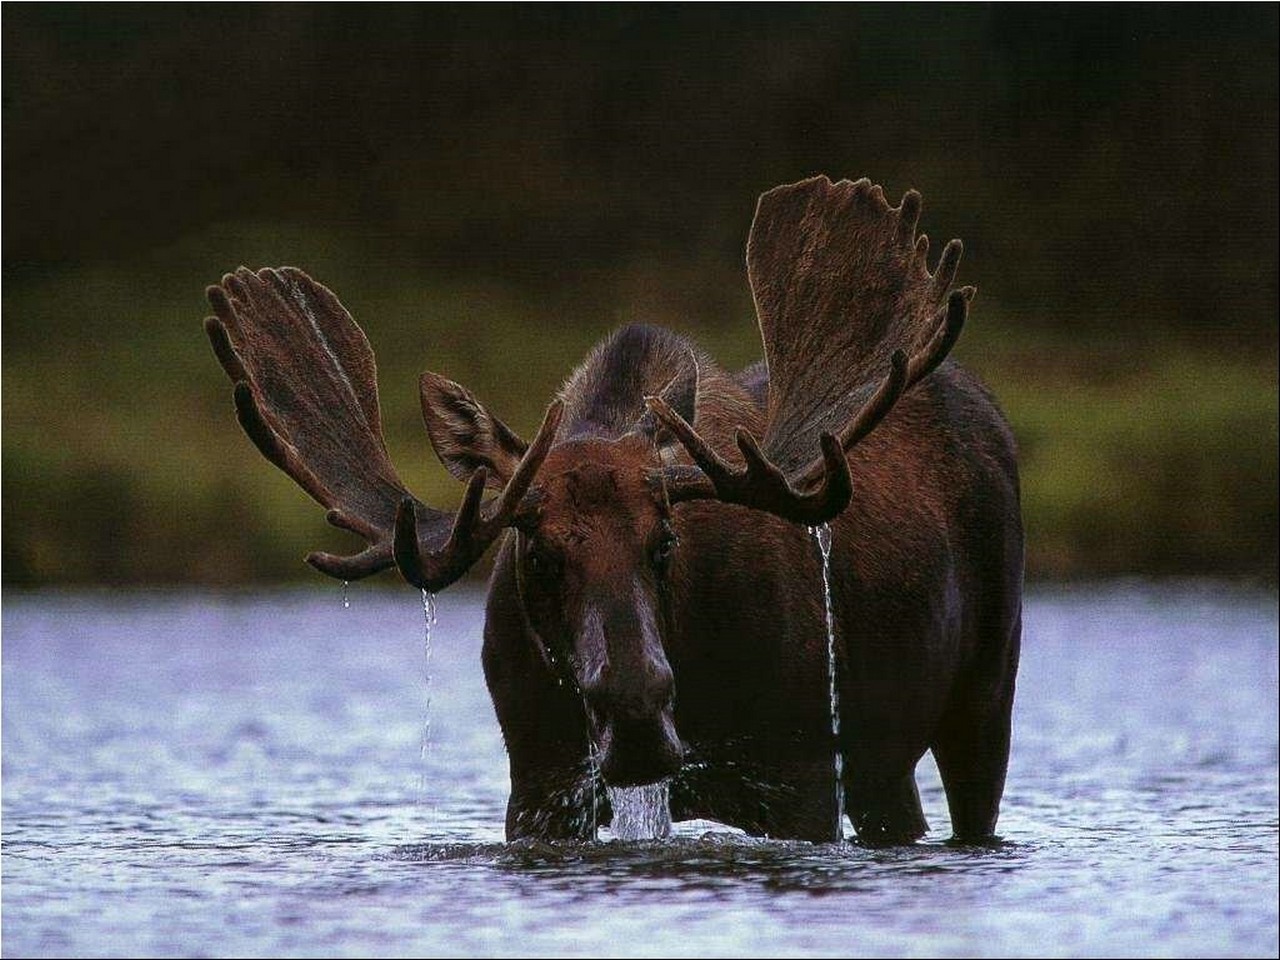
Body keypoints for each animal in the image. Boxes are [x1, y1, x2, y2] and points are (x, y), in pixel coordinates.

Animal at [204, 175, 1023, 845]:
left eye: (666, 542)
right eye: (539, 553)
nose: (635, 712)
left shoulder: (802, 773)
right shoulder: (541, 785)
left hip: (986, 688)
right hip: (886, 758)